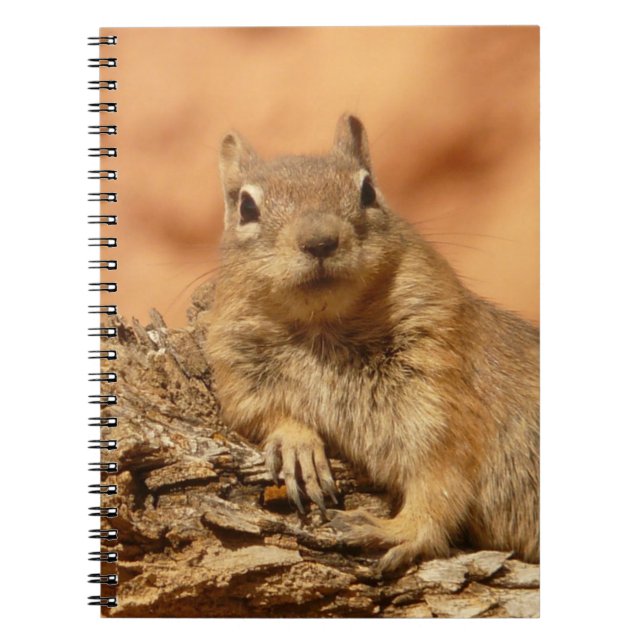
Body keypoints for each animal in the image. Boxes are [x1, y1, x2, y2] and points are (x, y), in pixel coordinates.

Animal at [206, 114, 539, 573]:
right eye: (246, 207)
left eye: (368, 190)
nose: (320, 241)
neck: (323, 328)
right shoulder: (239, 371)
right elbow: (259, 413)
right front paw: (297, 444)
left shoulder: (442, 398)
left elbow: (441, 482)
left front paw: (397, 530)